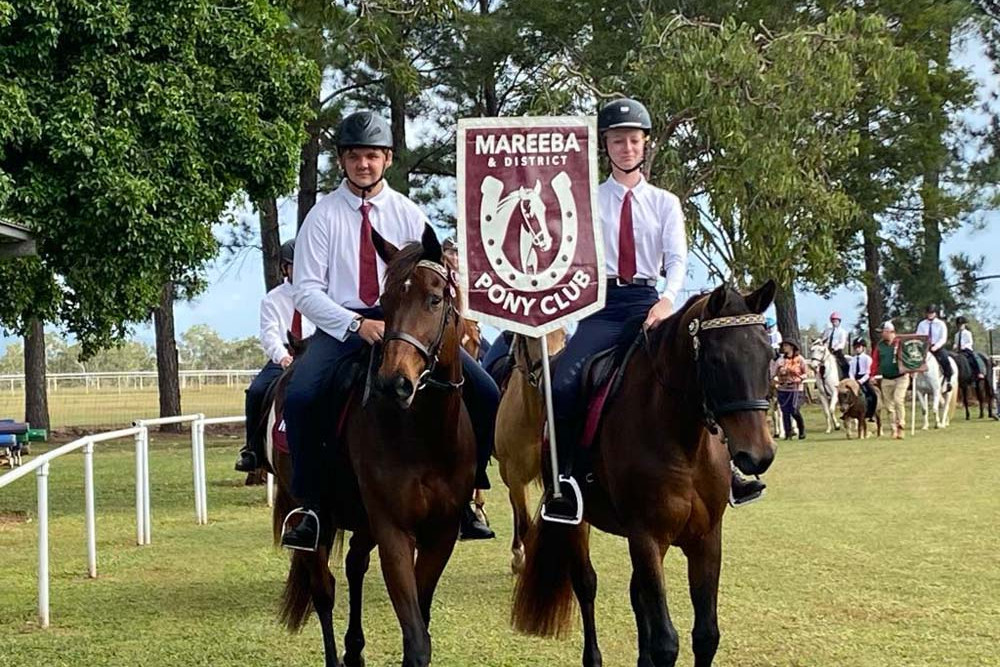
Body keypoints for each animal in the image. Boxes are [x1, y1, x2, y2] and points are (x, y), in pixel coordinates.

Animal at [270, 226, 476, 667]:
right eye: (386, 301)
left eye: (435, 299)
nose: (393, 383)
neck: (423, 435)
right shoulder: (394, 530)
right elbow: (416, 639)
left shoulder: (441, 533)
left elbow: (421, 623)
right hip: (315, 517)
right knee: (324, 590)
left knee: (354, 565)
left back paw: (355, 650)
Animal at [512, 282, 776, 667]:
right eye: (716, 360)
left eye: (768, 355)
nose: (758, 456)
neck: (683, 442)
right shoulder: (647, 536)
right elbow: (667, 642)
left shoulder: (706, 539)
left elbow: (706, 635)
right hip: (578, 523)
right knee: (586, 585)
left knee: (637, 595)